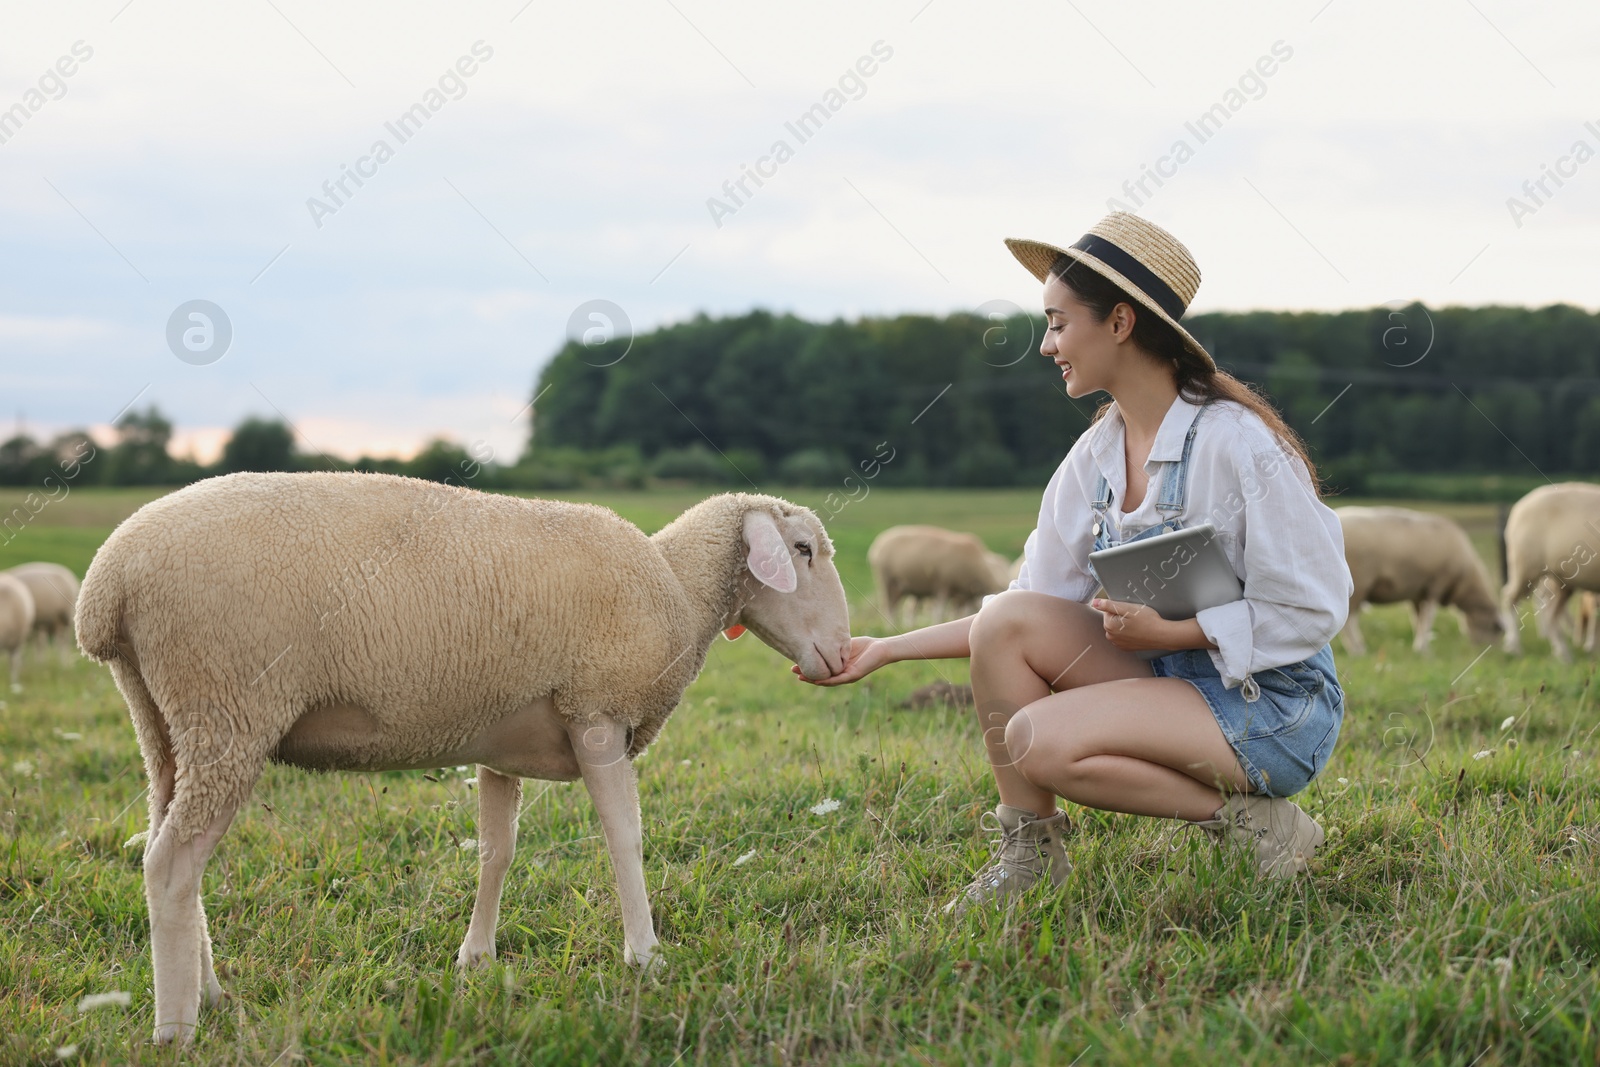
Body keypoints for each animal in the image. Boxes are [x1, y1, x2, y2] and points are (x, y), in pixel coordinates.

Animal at [75, 473, 851, 1043]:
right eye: (804, 549)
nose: (843, 655)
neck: (678, 588)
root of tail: (107, 587)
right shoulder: (597, 715)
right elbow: (624, 838)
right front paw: (646, 958)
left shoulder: (497, 742)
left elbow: (495, 851)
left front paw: (476, 960)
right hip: (228, 704)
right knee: (172, 864)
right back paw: (176, 1027)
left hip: (168, 721)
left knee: (171, 850)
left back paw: (208, 991)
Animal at [870, 524, 1004, 627]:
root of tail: (878, 544)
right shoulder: (943, 584)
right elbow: (939, 611)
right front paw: (937, 623)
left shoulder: (961, 594)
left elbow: (957, 612)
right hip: (886, 580)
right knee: (888, 606)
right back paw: (890, 628)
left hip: (901, 587)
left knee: (901, 607)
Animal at [1331, 505, 1504, 655]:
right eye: (1495, 628)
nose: (1490, 652)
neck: (1465, 579)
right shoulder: (1437, 583)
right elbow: (1429, 618)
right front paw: (1424, 649)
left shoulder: (1418, 594)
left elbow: (1418, 619)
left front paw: (1420, 647)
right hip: (1360, 582)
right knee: (1349, 621)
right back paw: (1358, 650)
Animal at [1497, 483, 1600, 662]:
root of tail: (1519, 506)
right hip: (1526, 566)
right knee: (1509, 598)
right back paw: (1515, 647)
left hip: (1561, 579)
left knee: (1551, 614)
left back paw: (1563, 655)